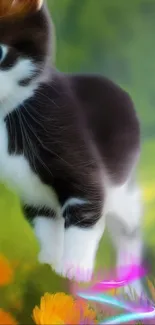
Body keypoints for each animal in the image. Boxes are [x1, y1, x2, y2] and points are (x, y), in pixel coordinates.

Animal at [0, 0, 143, 294]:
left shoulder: (79, 160)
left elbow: (85, 211)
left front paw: (75, 270)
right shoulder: (33, 193)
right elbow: (45, 225)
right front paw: (50, 266)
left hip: (121, 184)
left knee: (129, 224)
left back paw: (131, 283)